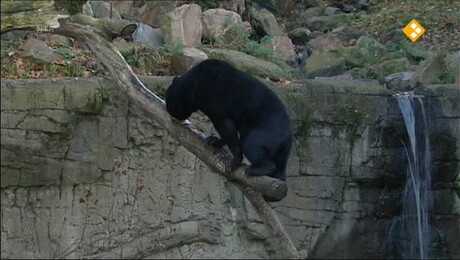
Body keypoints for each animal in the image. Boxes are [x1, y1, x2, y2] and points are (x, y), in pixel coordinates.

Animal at [167, 60, 292, 202]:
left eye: (172, 108)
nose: (173, 118)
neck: (194, 85)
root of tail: (288, 138)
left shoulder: (215, 101)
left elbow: (226, 127)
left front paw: (232, 163)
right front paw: (212, 140)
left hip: (267, 132)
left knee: (250, 144)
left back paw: (254, 169)